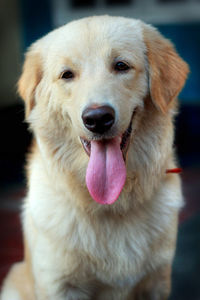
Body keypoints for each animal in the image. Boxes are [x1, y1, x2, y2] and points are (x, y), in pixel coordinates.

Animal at [1, 15, 189, 298]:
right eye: (67, 74)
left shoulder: (156, 282)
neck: (110, 205)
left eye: (121, 66)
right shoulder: (59, 285)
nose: (98, 118)